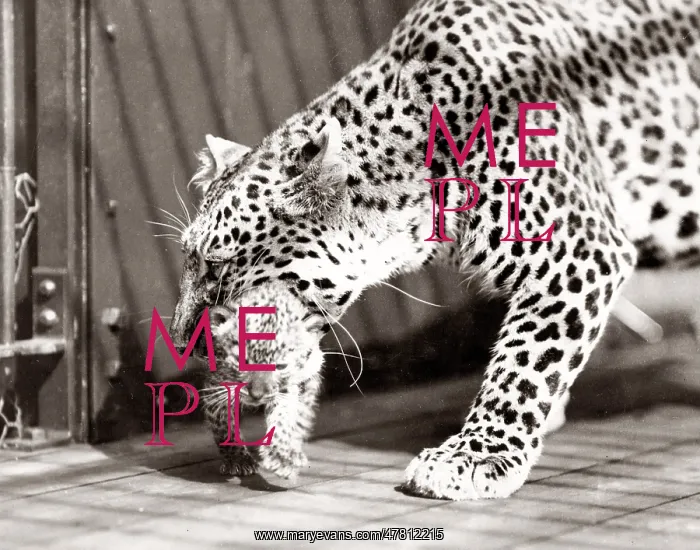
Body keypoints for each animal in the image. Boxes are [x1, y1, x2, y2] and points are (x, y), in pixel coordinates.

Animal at [169, 0, 700, 500]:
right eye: (189, 260)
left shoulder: (578, 249)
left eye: (217, 266)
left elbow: (526, 358)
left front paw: (477, 455)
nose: (179, 343)